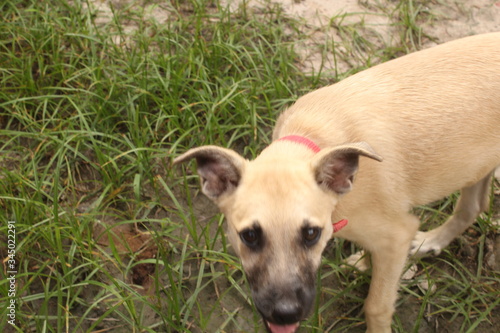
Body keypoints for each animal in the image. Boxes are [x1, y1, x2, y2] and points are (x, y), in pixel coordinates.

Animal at [175, 31, 500, 332]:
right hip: (477, 165)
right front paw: (365, 264)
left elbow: (376, 304)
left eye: (311, 234)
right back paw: (431, 242)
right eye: (250, 236)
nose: (285, 314)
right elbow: (373, 256)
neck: (311, 136)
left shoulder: (397, 233)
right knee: (473, 207)